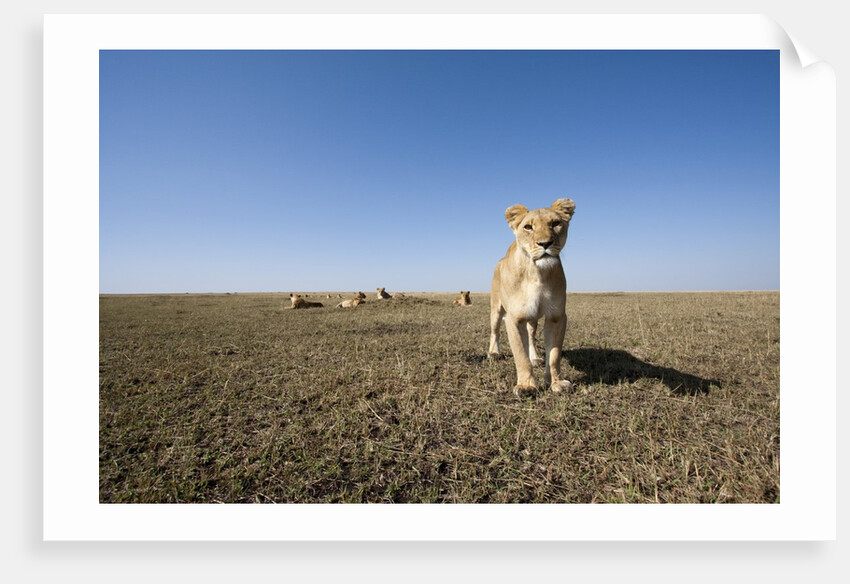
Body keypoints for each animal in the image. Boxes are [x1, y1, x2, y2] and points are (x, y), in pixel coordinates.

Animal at [488, 198, 576, 397]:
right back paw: (494, 353)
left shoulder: (557, 317)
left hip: (533, 318)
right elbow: (521, 356)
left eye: (555, 223)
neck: (538, 274)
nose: (546, 243)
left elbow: (554, 355)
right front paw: (527, 386)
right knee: (495, 331)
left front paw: (556, 383)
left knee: (531, 335)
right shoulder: (514, 318)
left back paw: (535, 357)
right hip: (496, 309)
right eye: (528, 227)